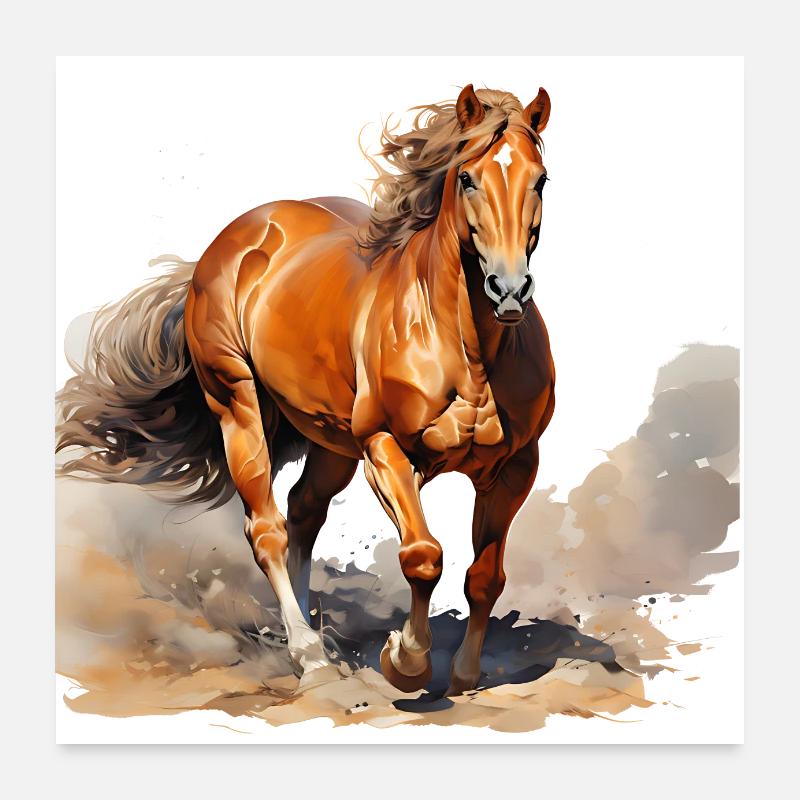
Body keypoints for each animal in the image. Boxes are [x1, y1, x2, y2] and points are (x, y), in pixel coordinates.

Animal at [56, 84, 555, 696]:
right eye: (467, 177)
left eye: (540, 179)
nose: (509, 289)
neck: (467, 352)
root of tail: (238, 236)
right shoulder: (385, 449)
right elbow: (423, 555)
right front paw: (404, 661)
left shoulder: (516, 467)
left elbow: (485, 576)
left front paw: (463, 674)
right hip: (239, 407)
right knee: (267, 528)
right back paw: (310, 656)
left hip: (330, 440)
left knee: (303, 510)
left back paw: (316, 640)